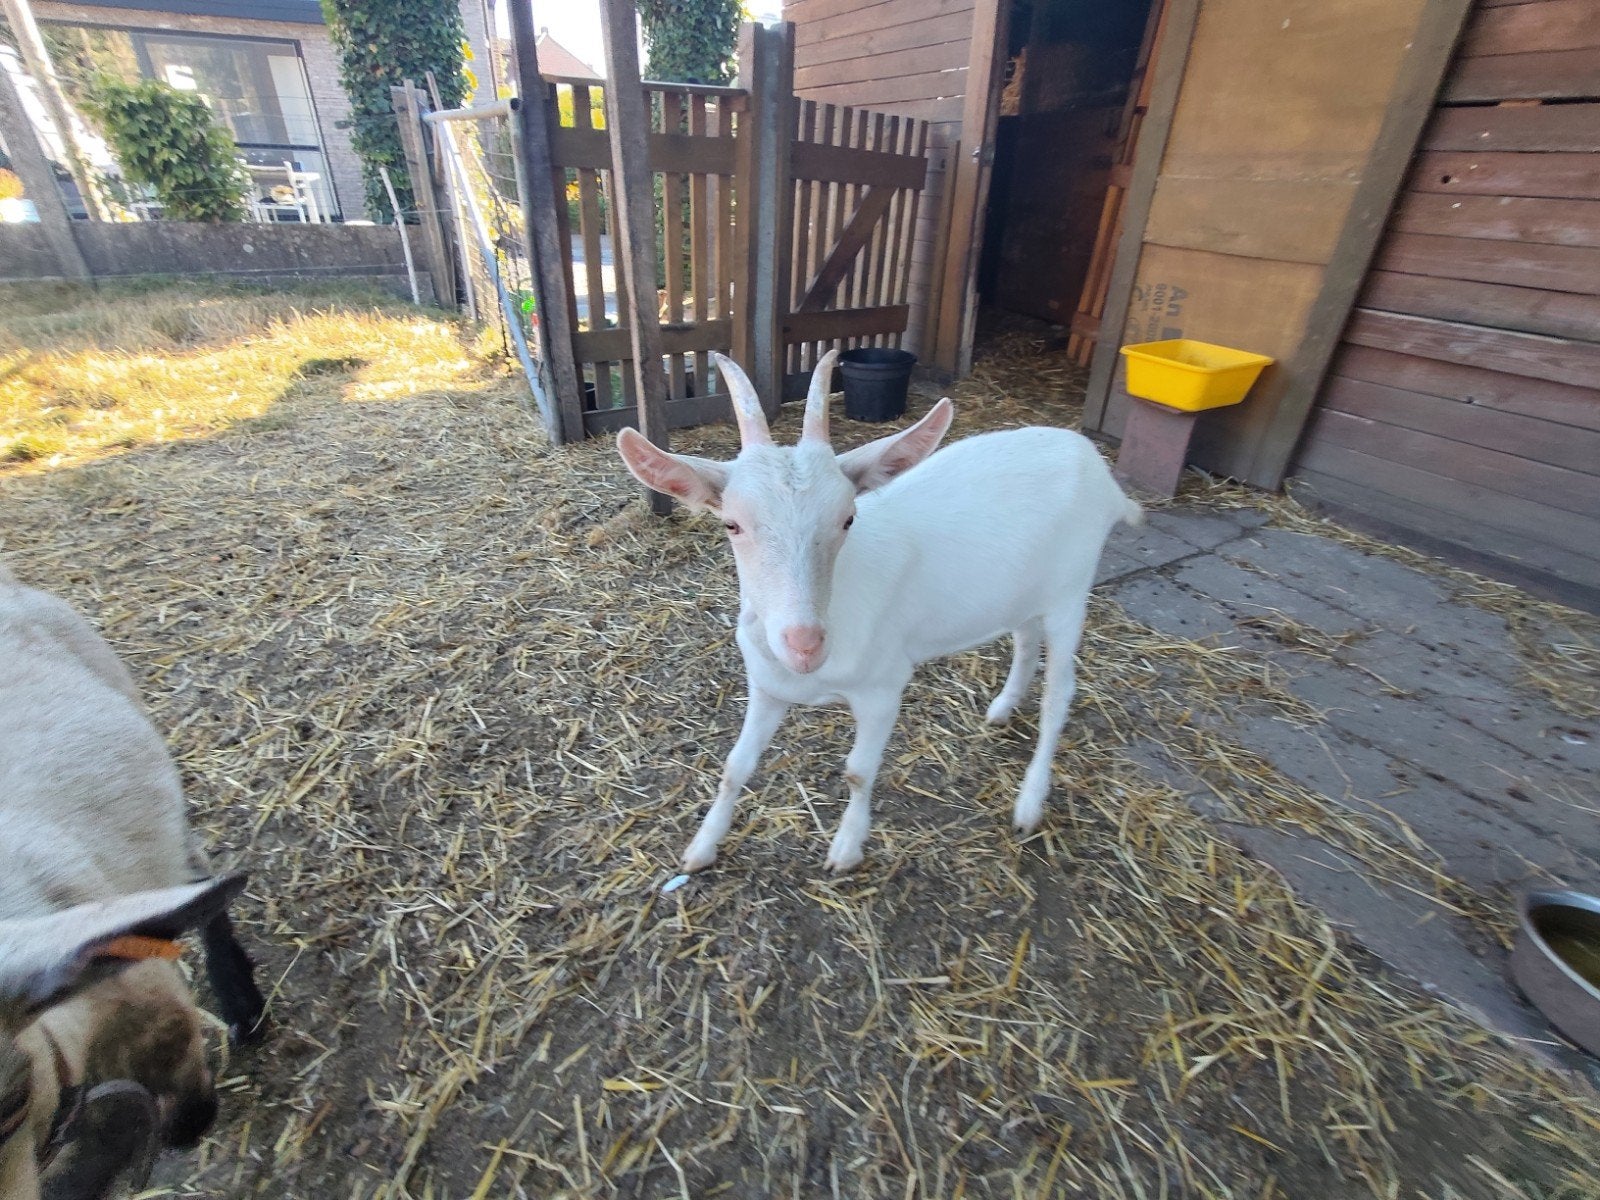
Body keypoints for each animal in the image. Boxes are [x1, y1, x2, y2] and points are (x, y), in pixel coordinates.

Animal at [616, 351, 1142, 873]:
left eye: (848, 518)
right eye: (731, 524)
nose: (805, 645)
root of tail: (1096, 466)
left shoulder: (883, 688)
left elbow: (857, 772)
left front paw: (846, 851)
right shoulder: (767, 686)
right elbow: (734, 766)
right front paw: (700, 849)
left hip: (1071, 592)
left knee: (1059, 694)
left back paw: (1029, 805)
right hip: (1026, 590)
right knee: (1026, 640)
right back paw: (1002, 708)